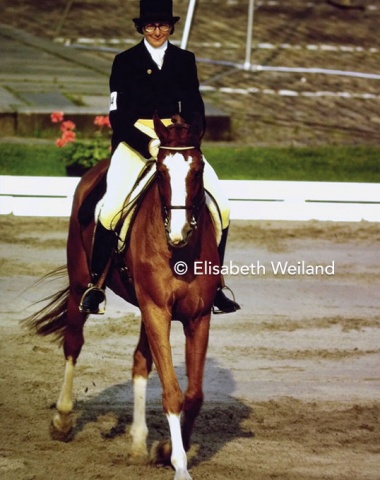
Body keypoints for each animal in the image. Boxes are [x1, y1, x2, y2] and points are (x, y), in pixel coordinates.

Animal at [25, 113, 221, 480]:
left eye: (199, 168)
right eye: (161, 172)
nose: (179, 232)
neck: (179, 252)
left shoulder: (196, 316)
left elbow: (194, 394)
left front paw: (165, 449)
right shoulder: (157, 310)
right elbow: (173, 393)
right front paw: (180, 466)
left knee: (140, 362)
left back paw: (138, 443)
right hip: (81, 286)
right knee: (73, 344)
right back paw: (63, 419)